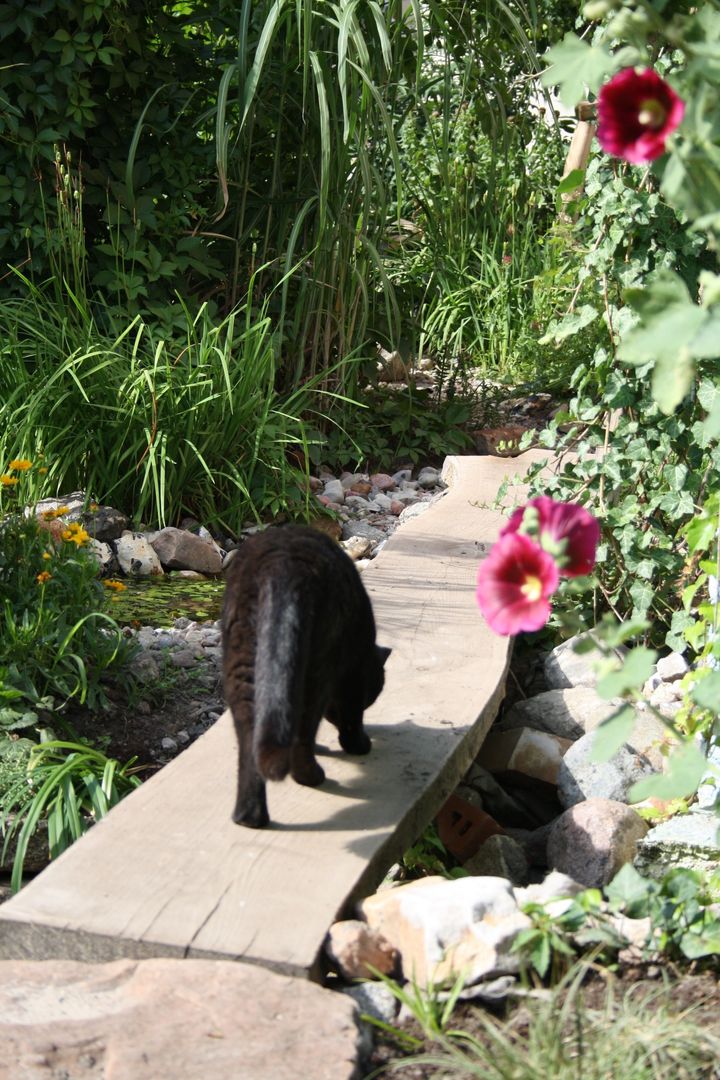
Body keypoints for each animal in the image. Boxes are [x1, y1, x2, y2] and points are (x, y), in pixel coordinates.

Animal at [222, 522, 390, 825]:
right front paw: (358, 745)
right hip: (316, 671)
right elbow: (351, 717)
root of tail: (281, 568)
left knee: (250, 741)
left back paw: (249, 817)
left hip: (241, 672)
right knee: (303, 727)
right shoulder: (353, 677)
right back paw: (311, 777)